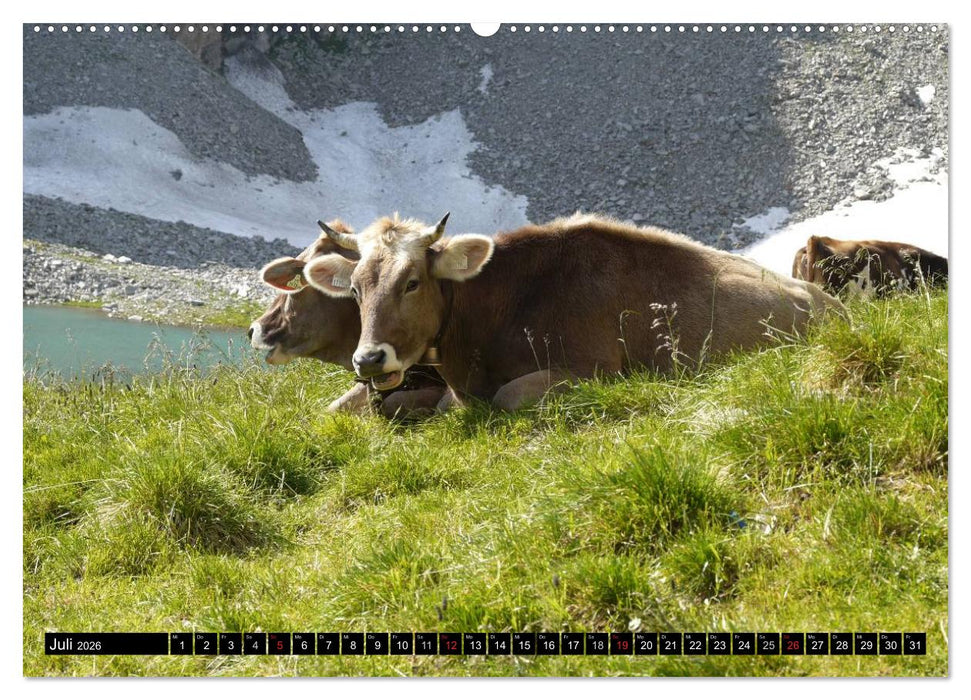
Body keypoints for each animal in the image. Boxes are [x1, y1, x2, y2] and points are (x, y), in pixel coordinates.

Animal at [302, 212, 846, 411]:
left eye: (411, 282)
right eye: (355, 290)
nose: (369, 360)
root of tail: (832, 305)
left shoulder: (593, 370)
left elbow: (506, 397)